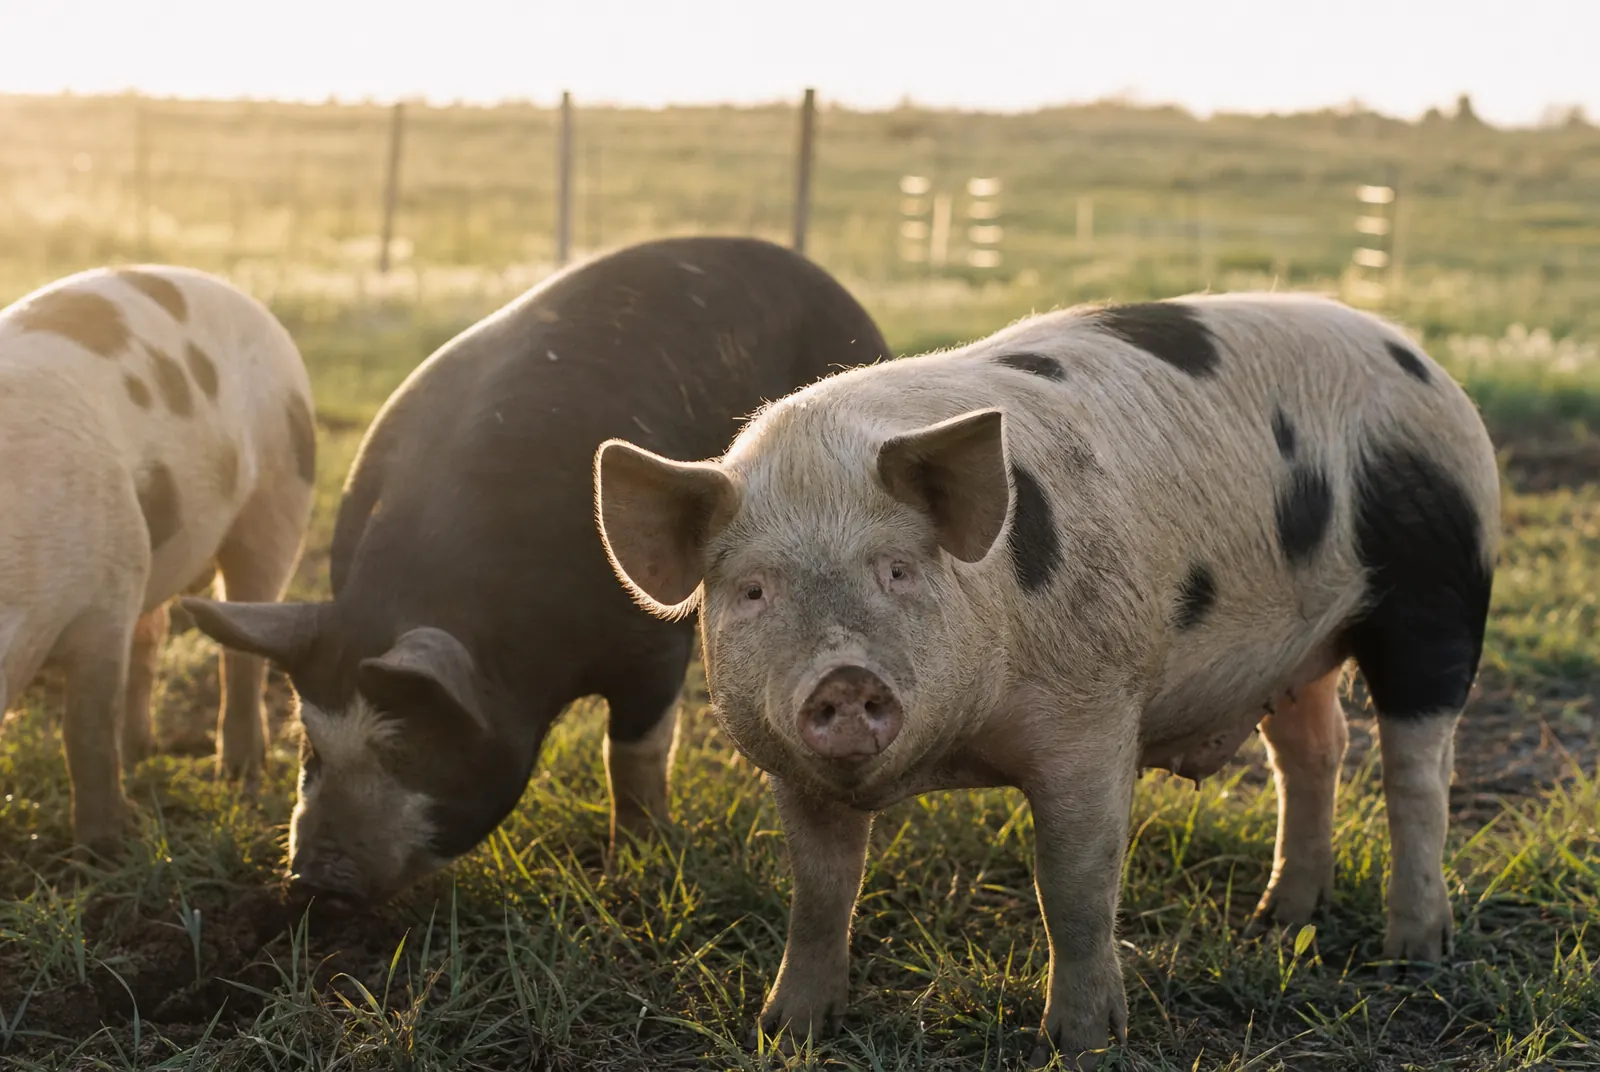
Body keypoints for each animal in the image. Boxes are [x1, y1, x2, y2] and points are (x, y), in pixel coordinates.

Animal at [0, 265, 316, 855]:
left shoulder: (105, 595)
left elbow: (86, 727)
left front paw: (111, 846)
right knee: (153, 634)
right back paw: (144, 750)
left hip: (279, 495)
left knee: (243, 645)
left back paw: (234, 776)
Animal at [178, 236, 891, 908]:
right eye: (311, 745)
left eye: (407, 747)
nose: (312, 881)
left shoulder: (652, 644)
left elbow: (632, 753)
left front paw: (636, 861)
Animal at [595, 293, 1500, 1067]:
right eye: (753, 591)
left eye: (897, 570)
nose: (844, 678)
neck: (956, 755)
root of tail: (1423, 360)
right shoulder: (791, 769)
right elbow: (820, 890)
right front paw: (788, 1030)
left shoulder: (1093, 714)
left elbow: (1074, 884)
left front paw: (1082, 1044)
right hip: (1293, 649)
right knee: (1313, 750)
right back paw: (1278, 918)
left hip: (1437, 591)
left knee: (1418, 770)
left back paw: (1413, 954)